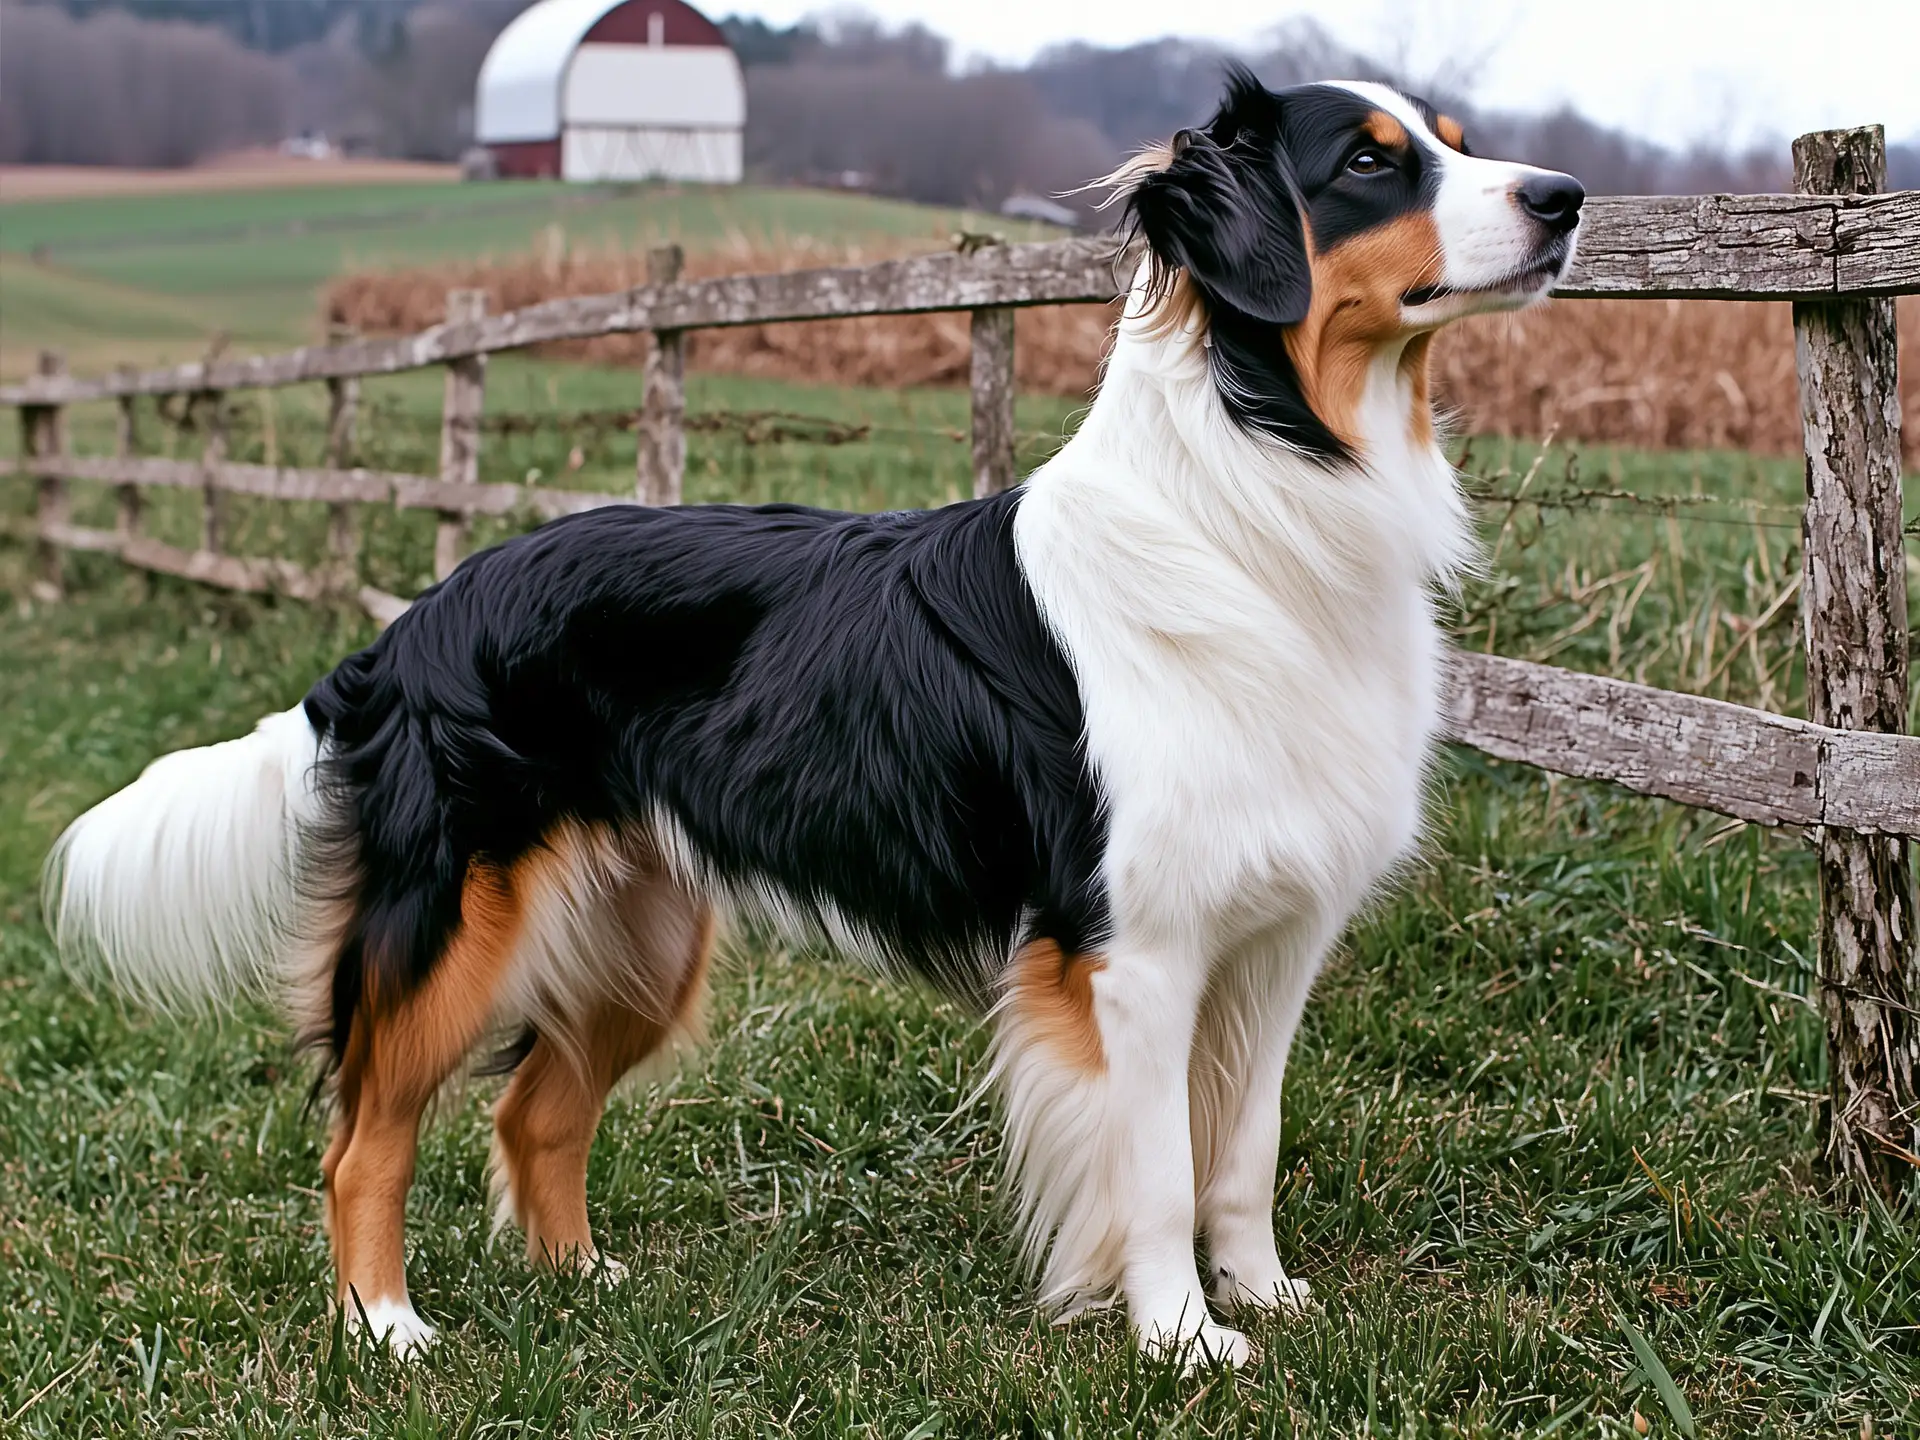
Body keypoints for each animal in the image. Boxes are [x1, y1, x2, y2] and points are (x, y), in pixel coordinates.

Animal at [45, 70, 1582, 1374]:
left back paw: (581, 1284)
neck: (1261, 490)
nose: (1567, 196)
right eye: (1370, 164)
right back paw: (386, 1329)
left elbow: (1242, 1153)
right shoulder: (1129, 953)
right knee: (365, 1137)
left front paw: (1259, 1296)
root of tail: (412, 624)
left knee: (532, 1109)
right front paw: (1181, 1342)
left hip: (646, 937)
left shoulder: (1271, 943)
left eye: (1446, 138)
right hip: (453, 923)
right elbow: (1152, 1171)